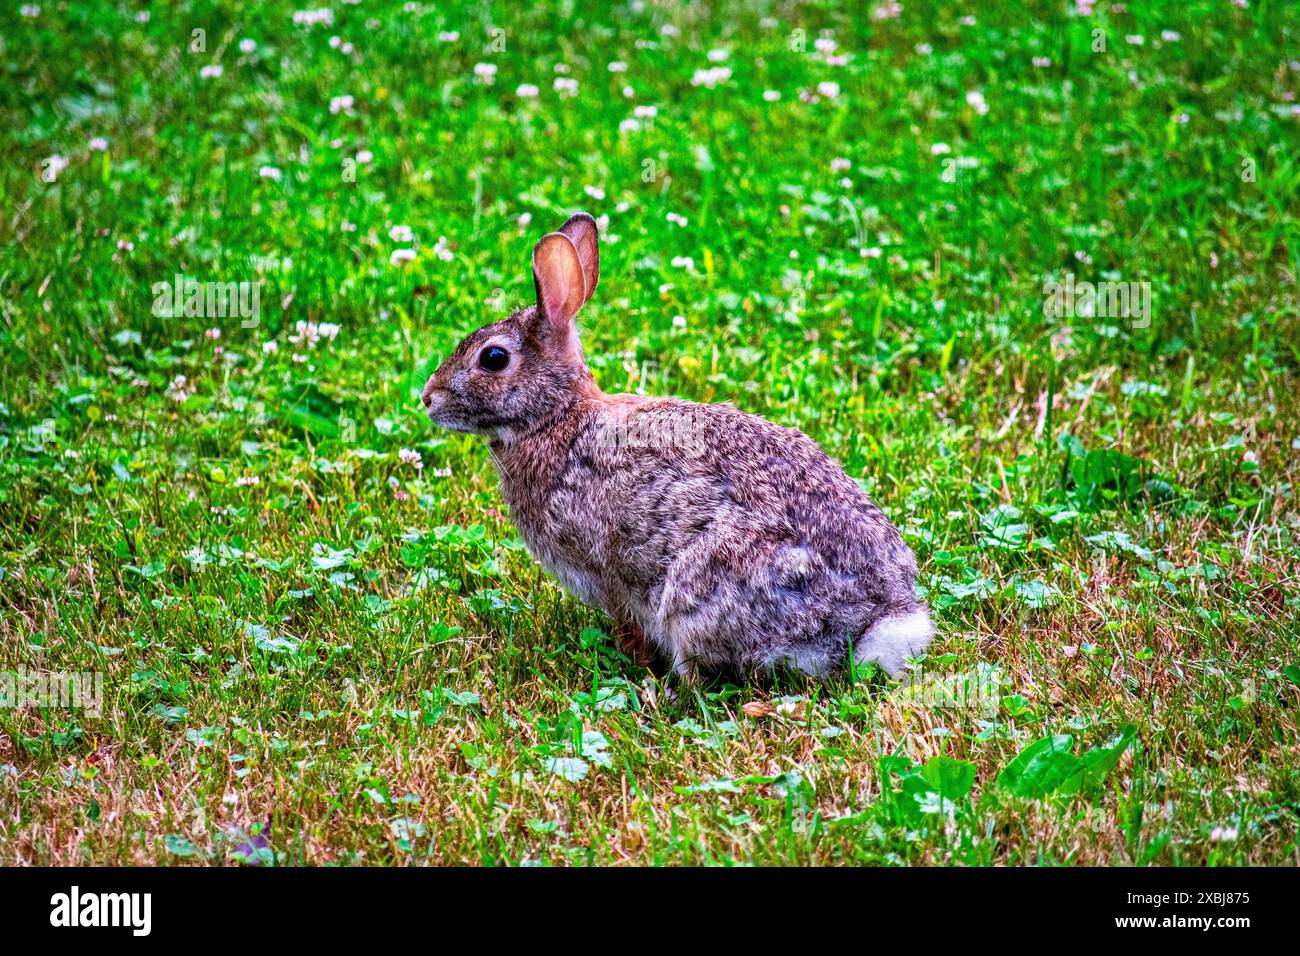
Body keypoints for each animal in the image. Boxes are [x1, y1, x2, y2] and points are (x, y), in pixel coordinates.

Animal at [421, 212, 933, 683]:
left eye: (493, 358)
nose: (427, 397)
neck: (558, 416)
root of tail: (873, 621)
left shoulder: (608, 574)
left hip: (700, 593)